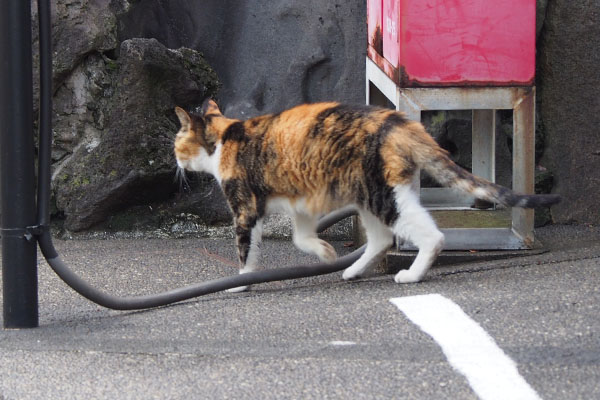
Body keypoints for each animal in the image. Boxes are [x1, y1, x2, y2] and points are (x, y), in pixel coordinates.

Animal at [172, 98, 556, 290]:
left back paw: (411, 275)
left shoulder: (246, 207)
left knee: (431, 236)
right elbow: (300, 237)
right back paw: (352, 270)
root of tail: (401, 123)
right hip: (372, 196)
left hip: (382, 196)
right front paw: (326, 253)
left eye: (177, 140)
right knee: (383, 239)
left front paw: (240, 282)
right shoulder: (302, 202)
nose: (174, 158)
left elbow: (245, 249)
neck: (225, 139)